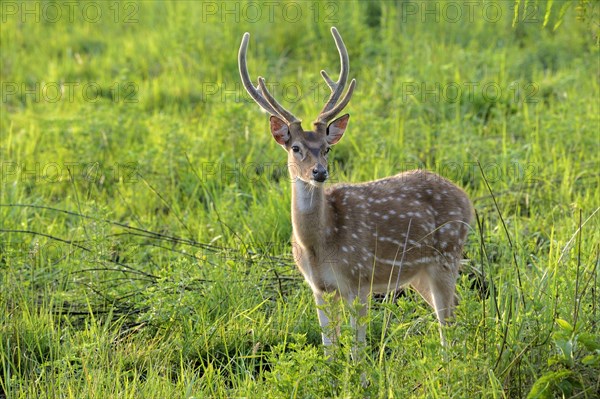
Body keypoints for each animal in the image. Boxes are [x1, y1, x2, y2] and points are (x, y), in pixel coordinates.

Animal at [238, 26, 474, 360]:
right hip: (419, 274)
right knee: (455, 310)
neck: (319, 245)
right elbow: (329, 348)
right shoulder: (319, 288)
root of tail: (466, 199)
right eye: (295, 147)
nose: (319, 172)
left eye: (327, 148)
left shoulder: (359, 279)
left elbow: (357, 350)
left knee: (448, 322)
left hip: (447, 255)